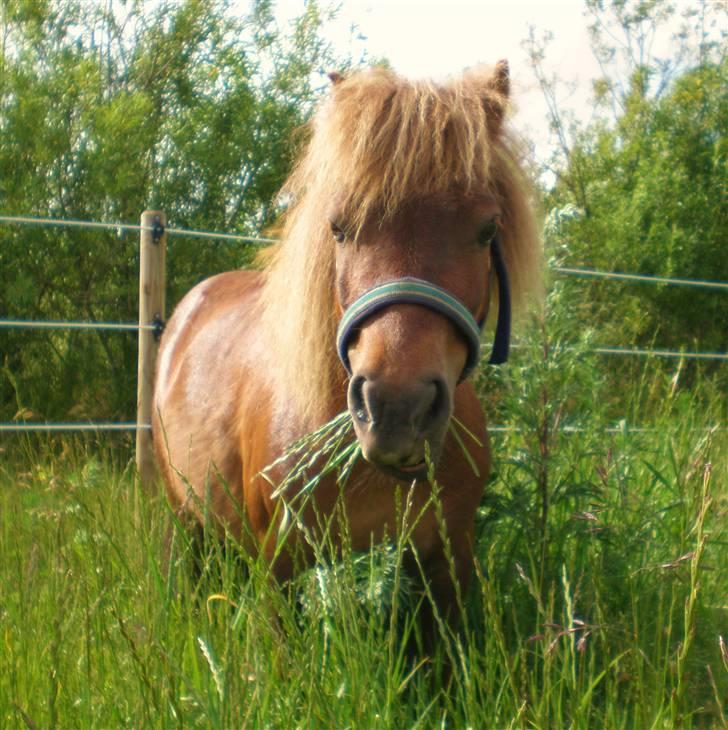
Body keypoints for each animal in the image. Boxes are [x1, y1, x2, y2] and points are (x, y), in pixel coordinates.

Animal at [154, 62, 540, 640]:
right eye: (339, 227)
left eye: (487, 228)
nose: (397, 410)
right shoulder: (280, 572)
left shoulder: (446, 567)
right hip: (189, 528)